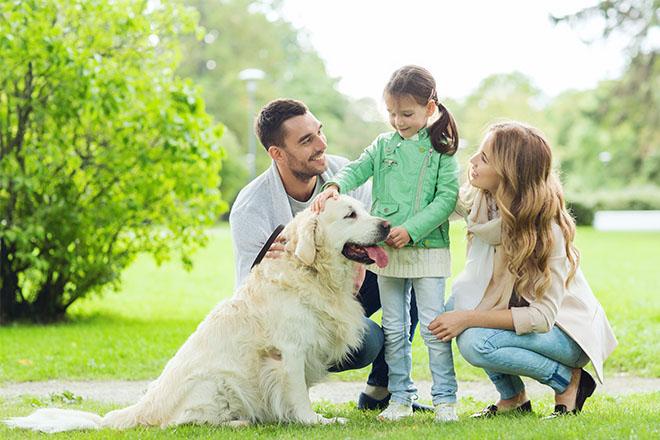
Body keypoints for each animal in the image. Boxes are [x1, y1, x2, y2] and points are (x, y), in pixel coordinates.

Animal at [5, 196, 392, 434]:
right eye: (350, 215)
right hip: (216, 382)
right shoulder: (289, 352)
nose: (387, 226)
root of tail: (141, 408)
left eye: (364, 209)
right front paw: (315, 421)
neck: (312, 272)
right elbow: (297, 394)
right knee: (179, 423)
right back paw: (238, 423)